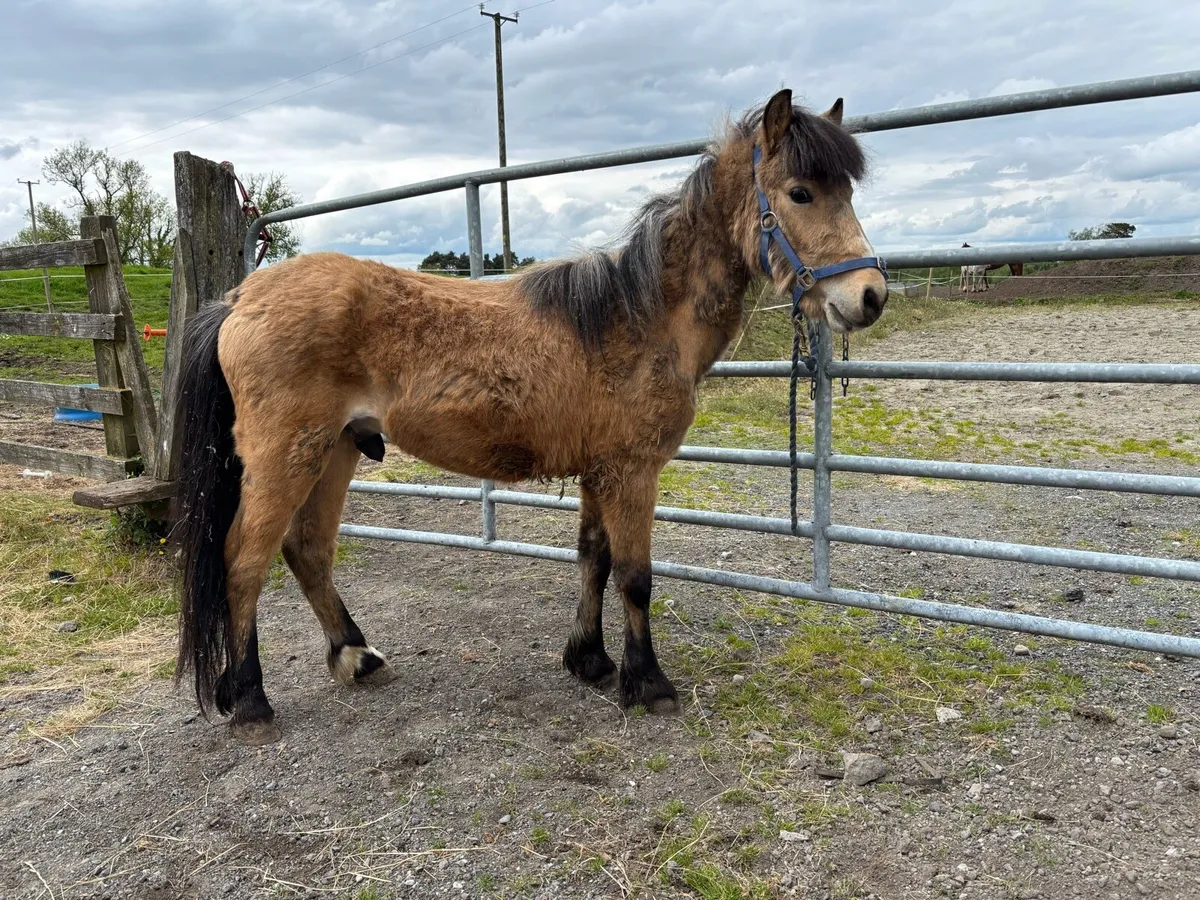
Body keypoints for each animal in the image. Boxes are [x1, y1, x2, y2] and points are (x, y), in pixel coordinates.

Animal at [173, 89, 889, 745]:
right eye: (800, 192)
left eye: (846, 190)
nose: (870, 296)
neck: (639, 317)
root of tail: (240, 299)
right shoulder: (633, 472)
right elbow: (635, 577)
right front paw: (648, 683)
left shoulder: (602, 472)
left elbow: (594, 558)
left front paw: (590, 661)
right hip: (287, 457)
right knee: (244, 560)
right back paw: (251, 699)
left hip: (338, 450)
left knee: (308, 550)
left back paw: (355, 656)